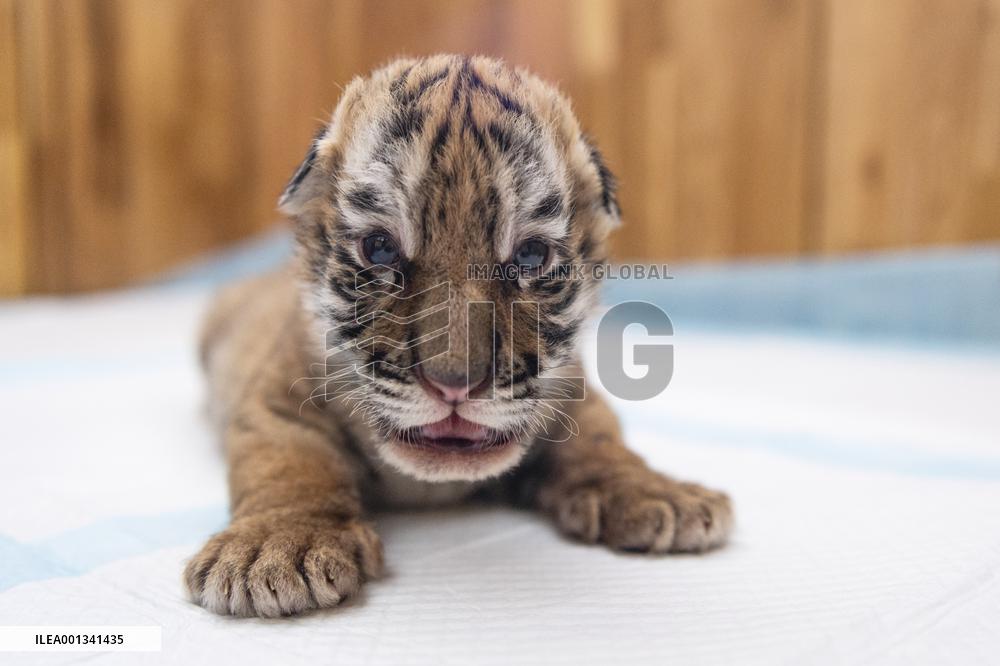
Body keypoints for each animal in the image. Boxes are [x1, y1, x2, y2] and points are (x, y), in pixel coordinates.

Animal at [183, 54, 733, 618]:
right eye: (380, 249)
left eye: (530, 256)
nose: (453, 385)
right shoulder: (275, 397)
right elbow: (288, 462)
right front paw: (274, 547)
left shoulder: (572, 393)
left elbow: (602, 441)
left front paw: (659, 494)